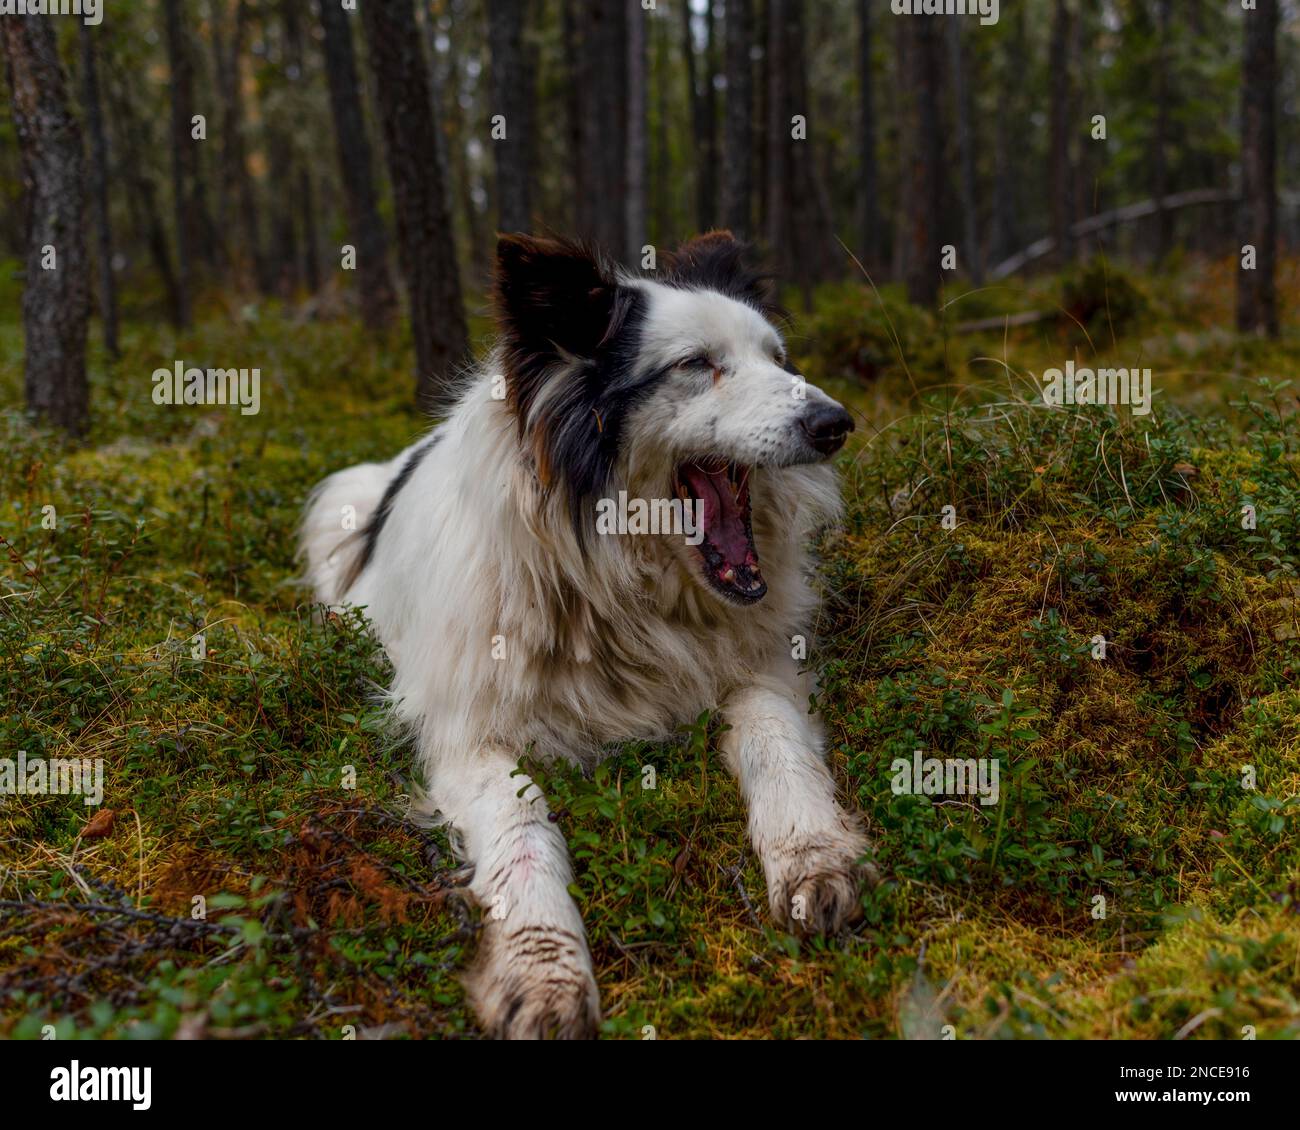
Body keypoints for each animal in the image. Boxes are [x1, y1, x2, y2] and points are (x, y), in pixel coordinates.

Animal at [301, 231, 873, 1040]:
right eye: (696, 364)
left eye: (780, 360)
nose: (835, 423)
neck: (624, 590)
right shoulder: (467, 737)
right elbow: (524, 823)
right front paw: (544, 969)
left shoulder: (760, 668)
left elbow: (775, 741)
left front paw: (812, 855)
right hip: (340, 506)